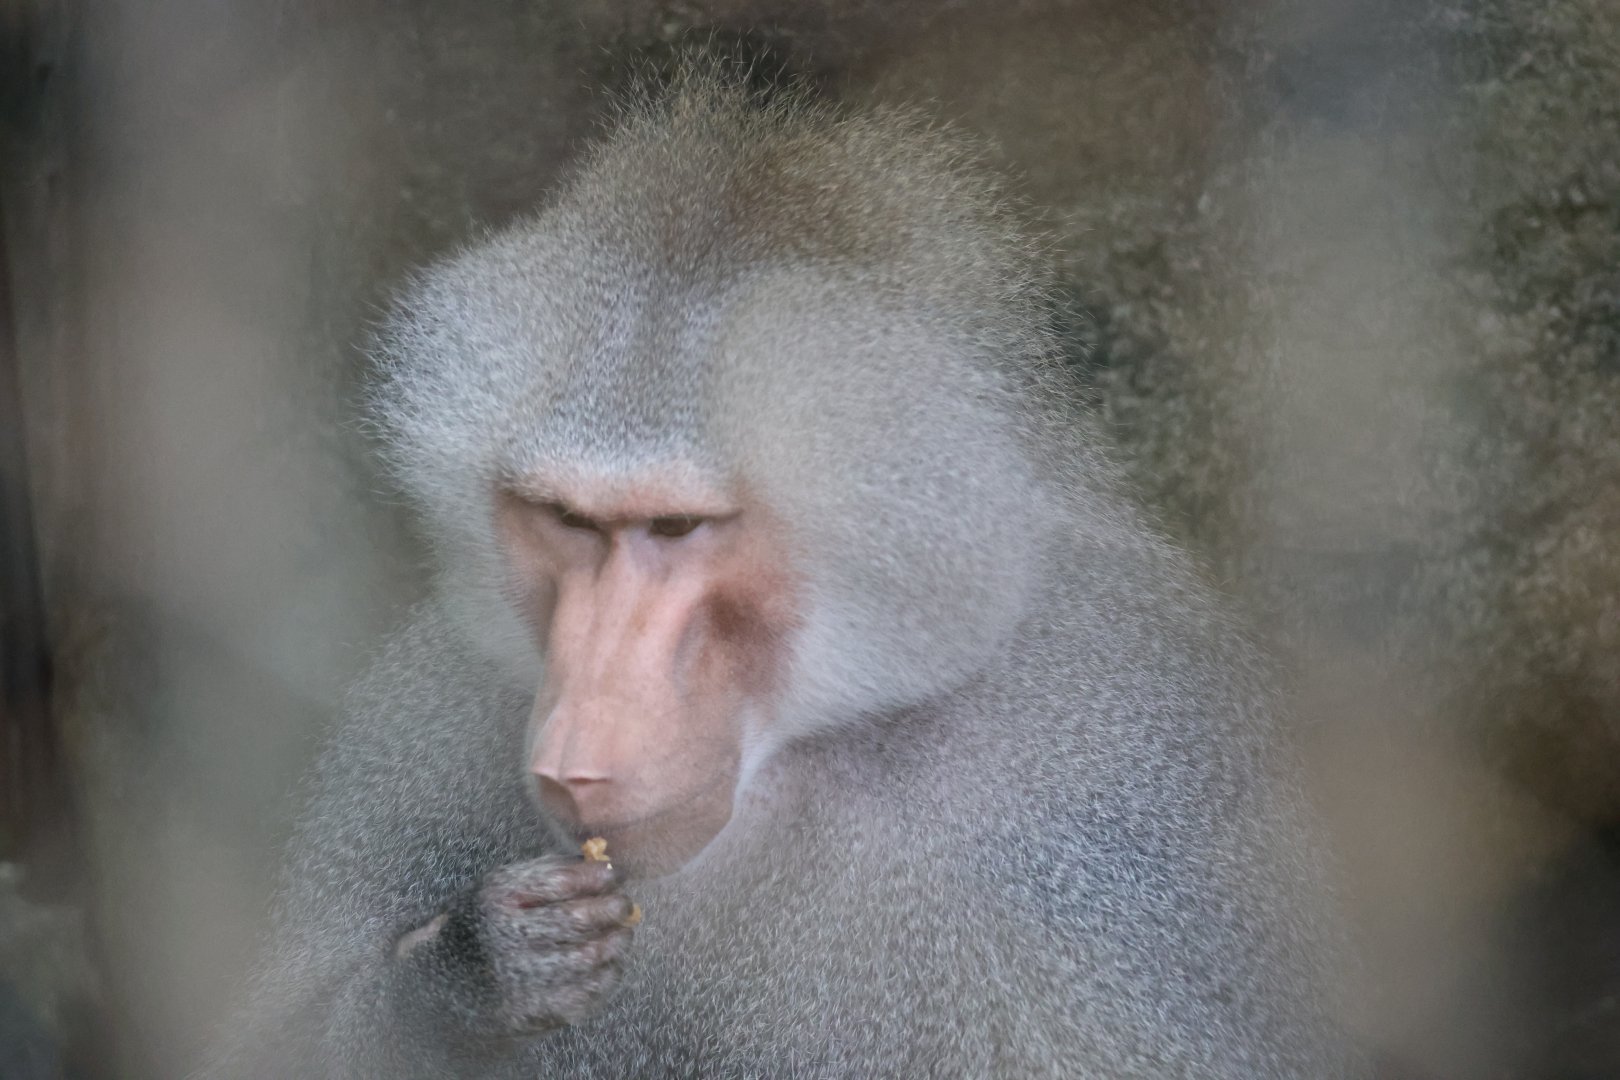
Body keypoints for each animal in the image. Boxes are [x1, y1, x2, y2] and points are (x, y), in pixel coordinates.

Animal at [197, 77, 1359, 1078]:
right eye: (570, 520)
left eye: (679, 526)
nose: (577, 756)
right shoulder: (433, 717)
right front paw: (484, 970)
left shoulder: (1106, 789)